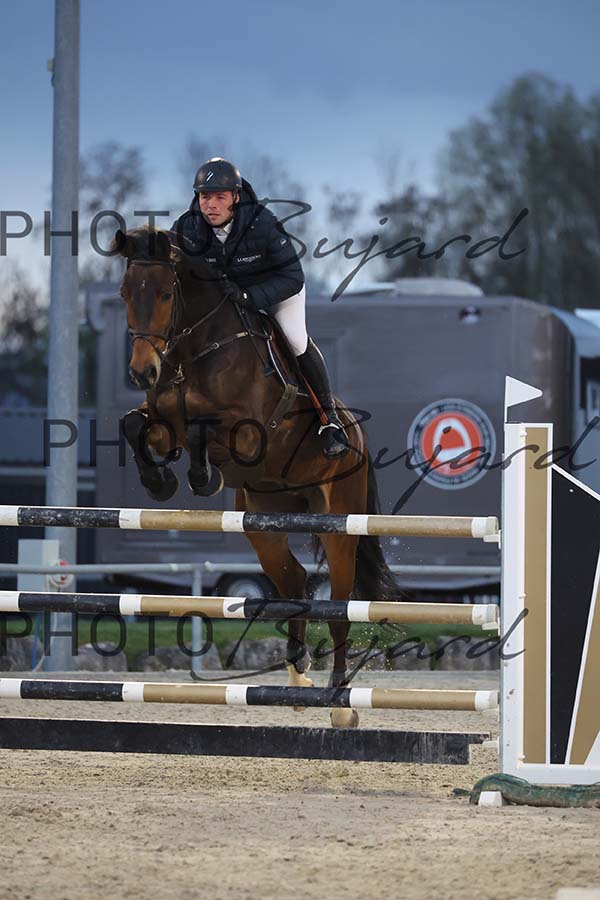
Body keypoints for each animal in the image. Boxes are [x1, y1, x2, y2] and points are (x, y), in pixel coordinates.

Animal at [115, 226, 399, 727]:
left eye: (166, 293)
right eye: (126, 293)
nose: (142, 371)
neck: (194, 350)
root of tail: (356, 431)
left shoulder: (247, 432)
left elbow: (202, 429)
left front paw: (201, 477)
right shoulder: (162, 420)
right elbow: (135, 424)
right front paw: (160, 482)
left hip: (339, 525)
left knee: (339, 606)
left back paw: (340, 703)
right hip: (264, 524)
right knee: (294, 581)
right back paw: (297, 675)